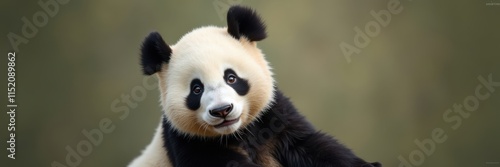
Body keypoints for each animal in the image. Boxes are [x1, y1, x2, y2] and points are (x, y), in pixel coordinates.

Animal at [128, 5, 378, 167]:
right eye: (196, 89)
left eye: (231, 78)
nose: (222, 110)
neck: (237, 133)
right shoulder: (186, 140)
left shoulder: (273, 116)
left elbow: (312, 146)